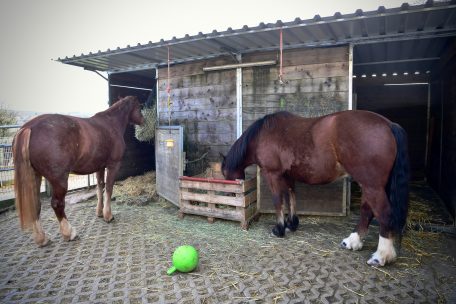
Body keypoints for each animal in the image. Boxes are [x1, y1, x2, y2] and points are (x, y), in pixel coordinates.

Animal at [12, 97, 143, 247]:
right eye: (139, 107)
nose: (143, 120)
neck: (111, 124)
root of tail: (29, 127)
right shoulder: (113, 165)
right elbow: (109, 189)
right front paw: (108, 216)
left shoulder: (99, 167)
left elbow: (100, 188)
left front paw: (99, 212)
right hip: (60, 180)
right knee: (57, 204)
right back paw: (69, 233)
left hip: (35, 176)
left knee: (36, 205)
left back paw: (42, 239)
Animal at [222, 110, 410, 266]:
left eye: (224, 174)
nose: (229, 197)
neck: (262, 134)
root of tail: (389, 125)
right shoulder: (288, 175)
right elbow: (290, 197)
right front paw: (292, 224)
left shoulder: (273, 174)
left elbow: (278, 200)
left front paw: (280, 228)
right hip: (373, 186)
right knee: (367, 211)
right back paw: (352, 241)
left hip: (372, 186)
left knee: (384, 214)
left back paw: (381, 255)